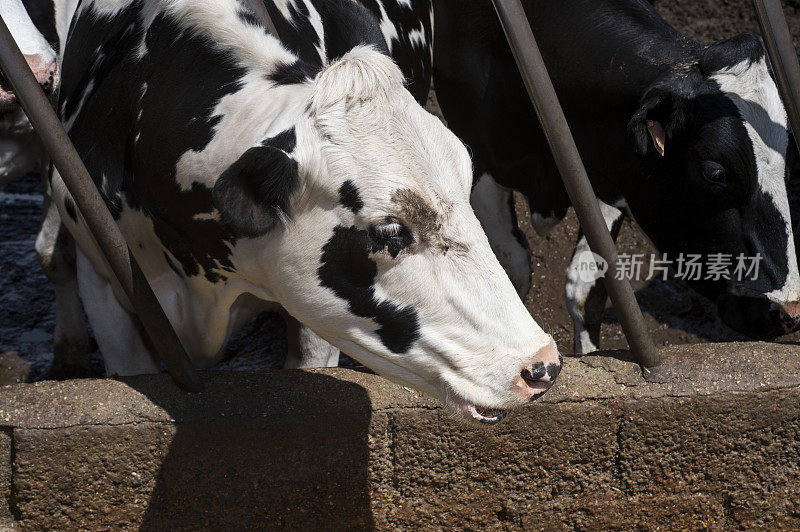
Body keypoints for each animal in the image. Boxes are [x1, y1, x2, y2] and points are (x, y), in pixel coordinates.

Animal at [434, 0, 800, 354]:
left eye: (789, 160)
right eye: (715, 173)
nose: (790, 311)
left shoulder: (603, 176)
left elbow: (584, 289)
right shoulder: (479, 160)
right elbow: (512, 267)